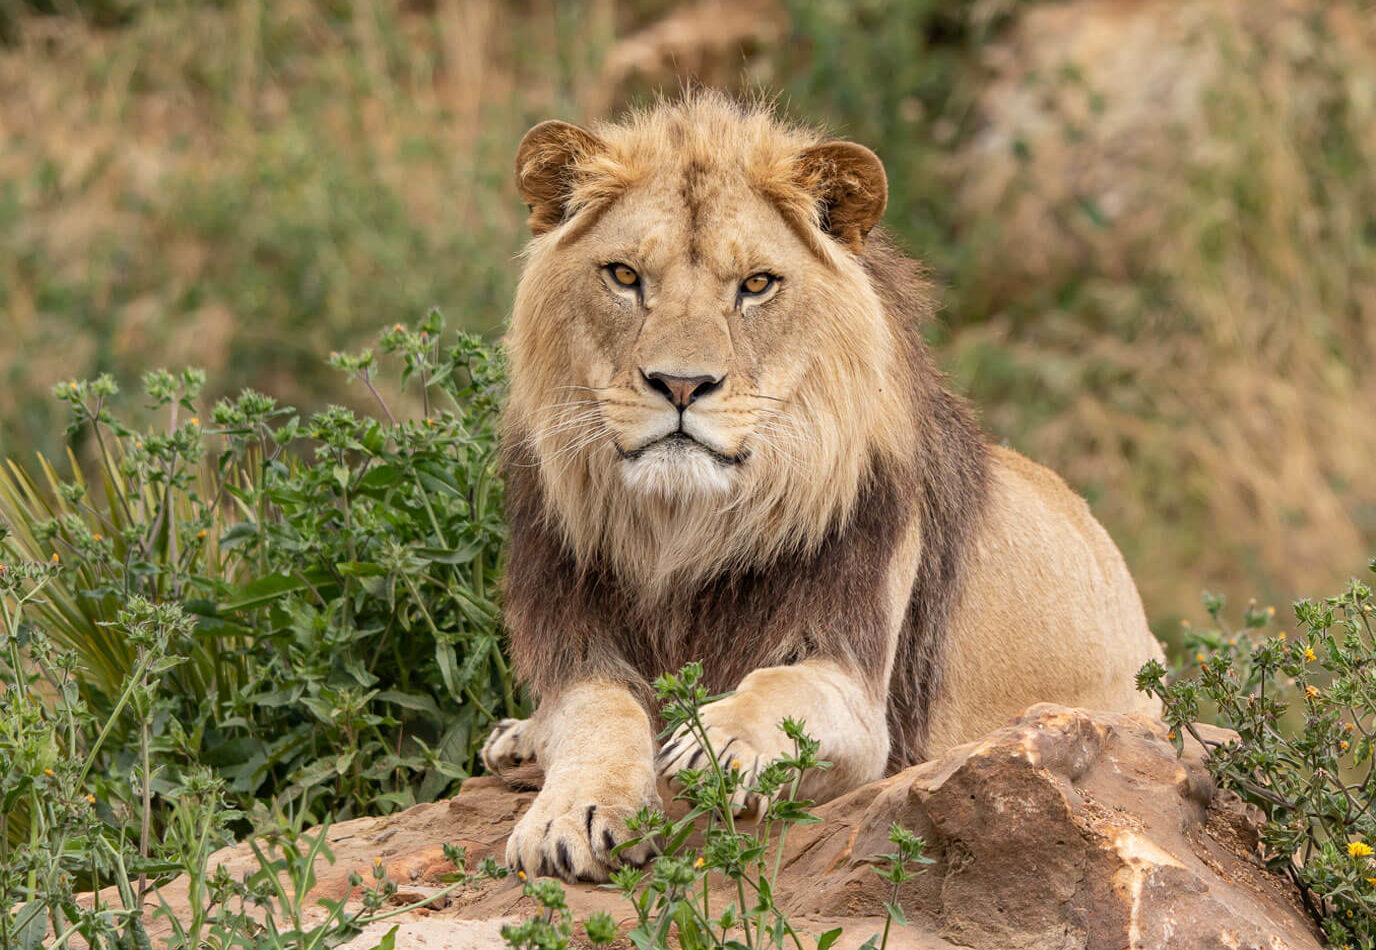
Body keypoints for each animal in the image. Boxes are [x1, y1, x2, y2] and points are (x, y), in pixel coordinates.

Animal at [481, 92, 1164, 882]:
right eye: (623, 276)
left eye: (756, 285)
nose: (681, 385)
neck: (681, 530)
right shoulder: (574, 645)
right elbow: (597, 716)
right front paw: (572, 811)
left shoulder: (863, 701)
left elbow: (785, 685)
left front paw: (720, 740)